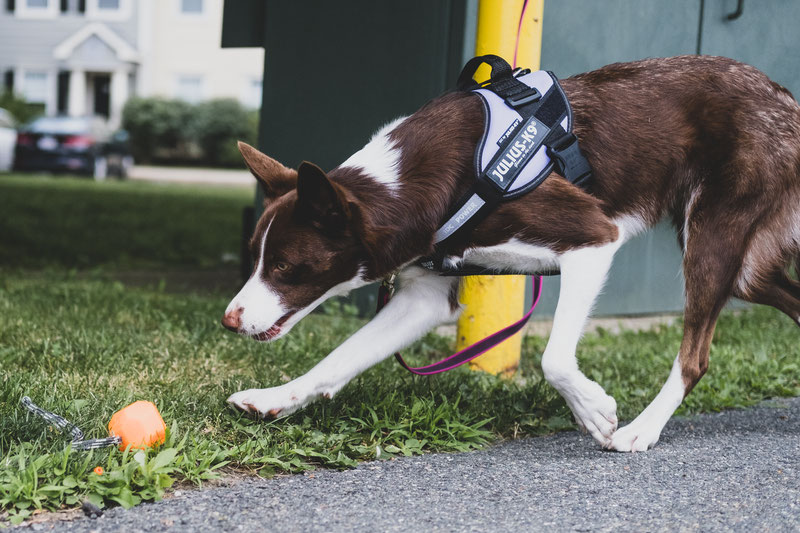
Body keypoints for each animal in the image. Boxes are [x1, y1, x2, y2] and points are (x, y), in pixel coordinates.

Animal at [222, 56, 800, 450]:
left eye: (286, 266)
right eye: (254, 257)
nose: (228, 320)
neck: (404, 186)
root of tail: (784, 98)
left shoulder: (593, 235)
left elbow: (554, 358)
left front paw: (594, 411)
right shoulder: (424, 297)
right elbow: (337, 358)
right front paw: (275, 398)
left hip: (713, 236)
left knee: (694, 356)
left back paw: (643, 430)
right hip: (749, 268)